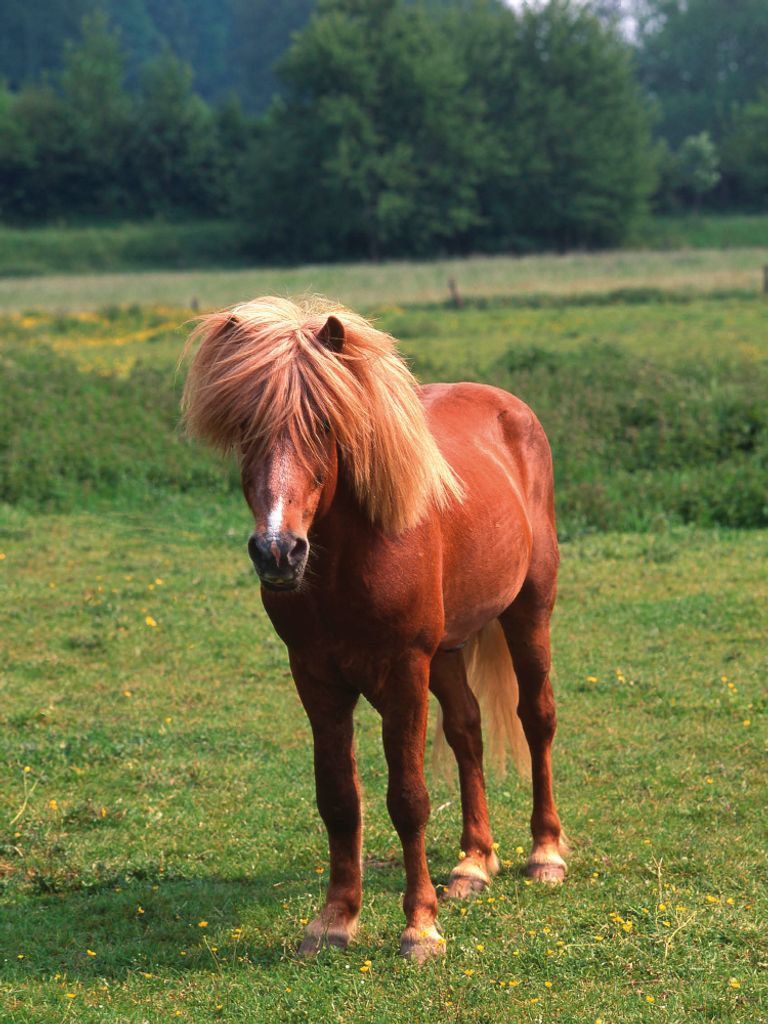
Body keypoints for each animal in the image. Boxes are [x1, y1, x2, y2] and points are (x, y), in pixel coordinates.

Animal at [182, 296, 566, 963]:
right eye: (245, 428)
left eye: (324, 427)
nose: (278, 552)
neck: (346, 564)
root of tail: (510, 408)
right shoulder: (316, 678)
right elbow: (338, 797)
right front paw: (334, 920)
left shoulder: (402, 675)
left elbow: (407, 799)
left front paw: (420, 927)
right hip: (448, 648)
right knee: (467, 731)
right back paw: (474, 864)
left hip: (527, 612)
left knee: (535, 717)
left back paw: (545, 854)